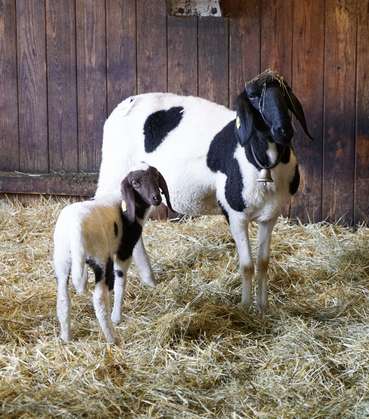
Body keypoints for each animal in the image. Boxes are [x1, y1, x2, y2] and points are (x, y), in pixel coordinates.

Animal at [53, 164, 172, 344]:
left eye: (156, 177)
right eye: (135, 183)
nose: (156, 198)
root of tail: (75, 228)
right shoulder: (124, 251)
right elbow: (120, 282)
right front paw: (116, 317)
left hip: (62, 260)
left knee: (63, 299)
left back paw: (66, 337)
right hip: (100, 259)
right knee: (99, 299)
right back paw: (111, 338)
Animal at [95, 69, 314, 312]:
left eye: (286, 95)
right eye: (254, 96)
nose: (284, 130)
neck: (263, 161)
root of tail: (125, 103)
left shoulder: (270, 216)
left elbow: (263, 263)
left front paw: (262, 307)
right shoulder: (235, 214)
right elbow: (247, 265)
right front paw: (245, 308)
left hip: (146, 188)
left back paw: (149, 280)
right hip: (113, 174)